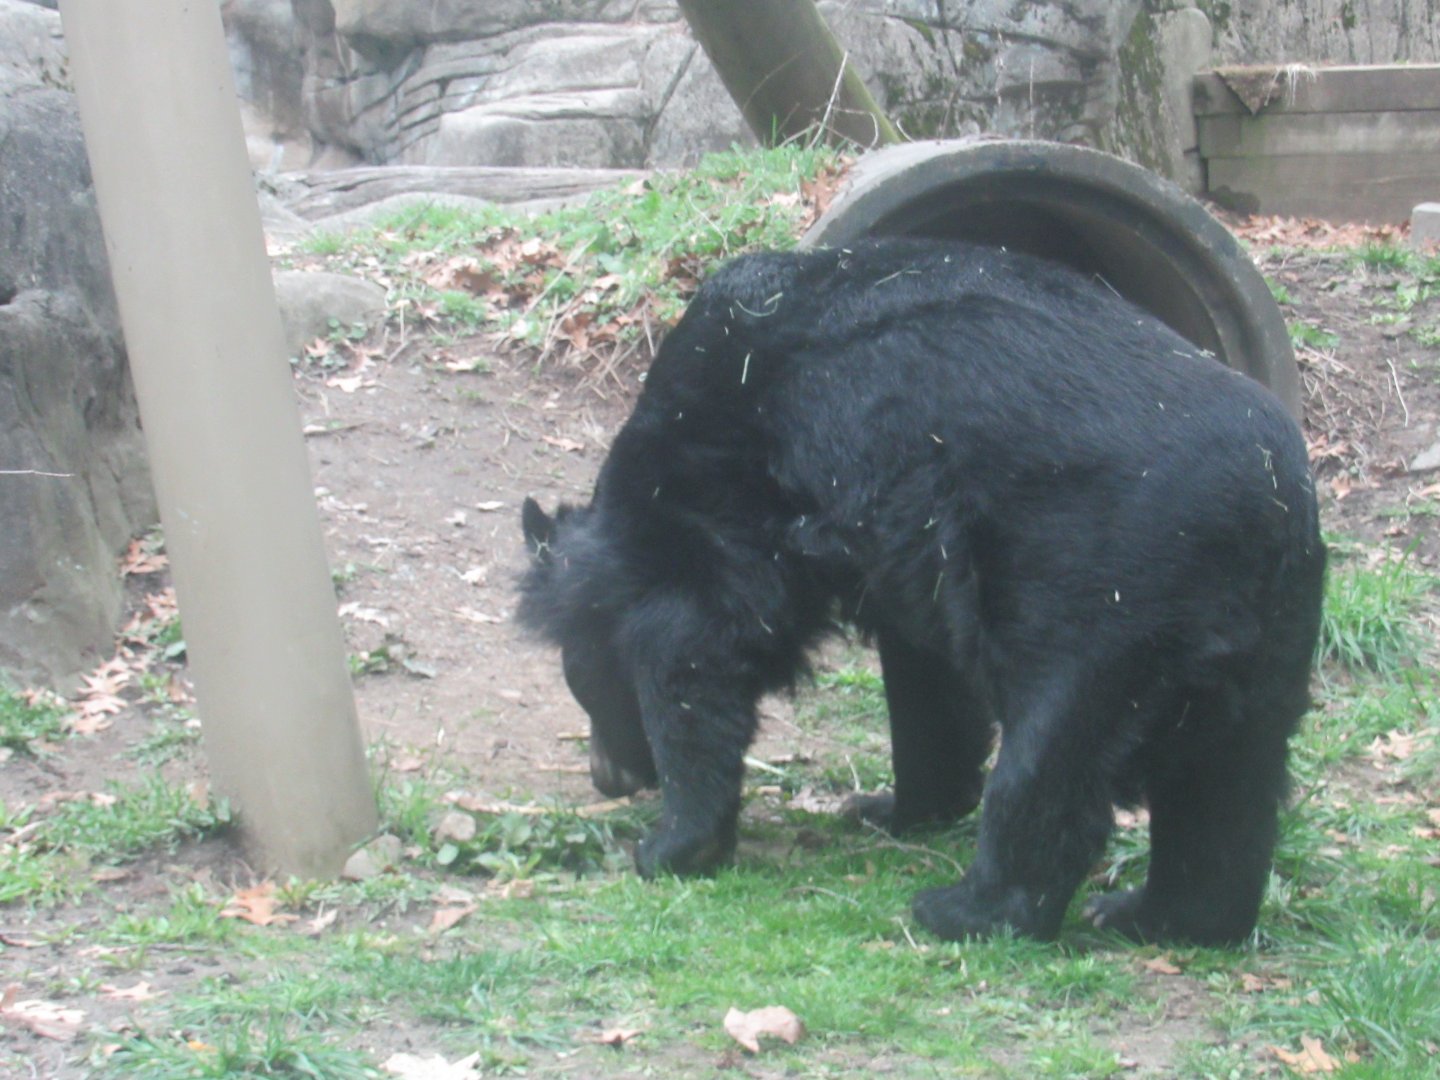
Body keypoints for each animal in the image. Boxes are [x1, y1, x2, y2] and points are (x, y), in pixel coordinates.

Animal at [518, 237, 1325, 946]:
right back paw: (1160, 917)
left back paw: (965, 911)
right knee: (1225, 792)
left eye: (586, 687)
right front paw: (888, 808)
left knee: (1052, 760)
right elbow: (928, 684)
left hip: (1106, 601)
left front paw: (670, 848)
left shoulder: (730, 492)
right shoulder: (900, 548)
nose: (608, 779)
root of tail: (1268, 506)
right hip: (1266, 649)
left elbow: (694, 656)